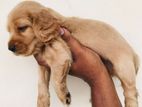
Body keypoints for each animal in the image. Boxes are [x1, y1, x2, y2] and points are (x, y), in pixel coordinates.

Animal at [7, 1, 139, 107]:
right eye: (9, 31)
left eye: (22, 28)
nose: (9, 48)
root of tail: (134, 54)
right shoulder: (43, 65)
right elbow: (41, 83)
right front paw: (42, 102)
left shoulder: (61, 55)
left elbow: (55, 79)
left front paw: (63, 95)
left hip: (124, 68)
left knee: (131, 92)